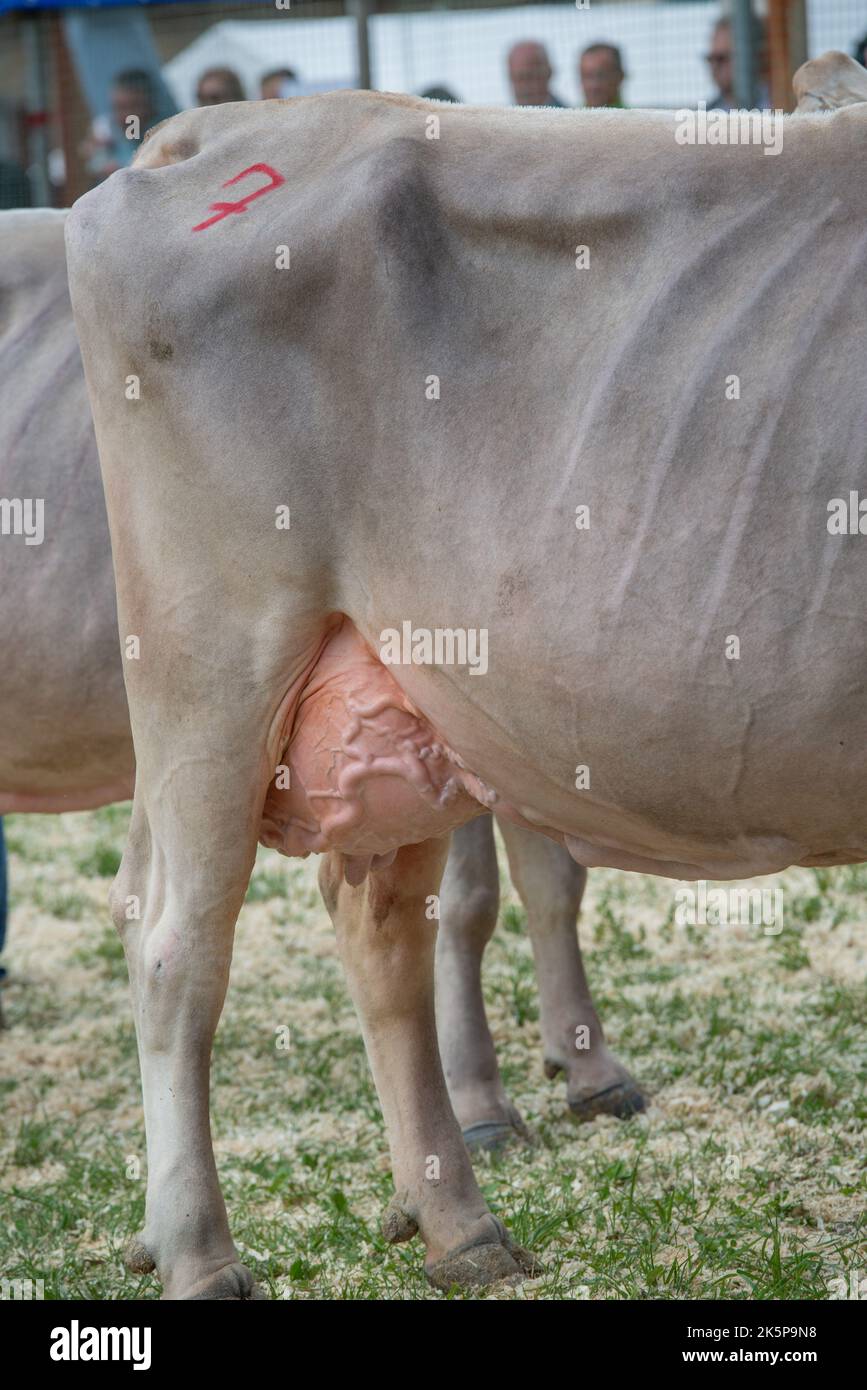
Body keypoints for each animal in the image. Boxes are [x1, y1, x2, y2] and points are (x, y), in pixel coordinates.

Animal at [65, 84, 867, 1301]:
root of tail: (211, 131)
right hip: (210, 664)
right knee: (175, 951)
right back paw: (200, 1252)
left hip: (398, 704)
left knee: (378, 932)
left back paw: (457, 1223)